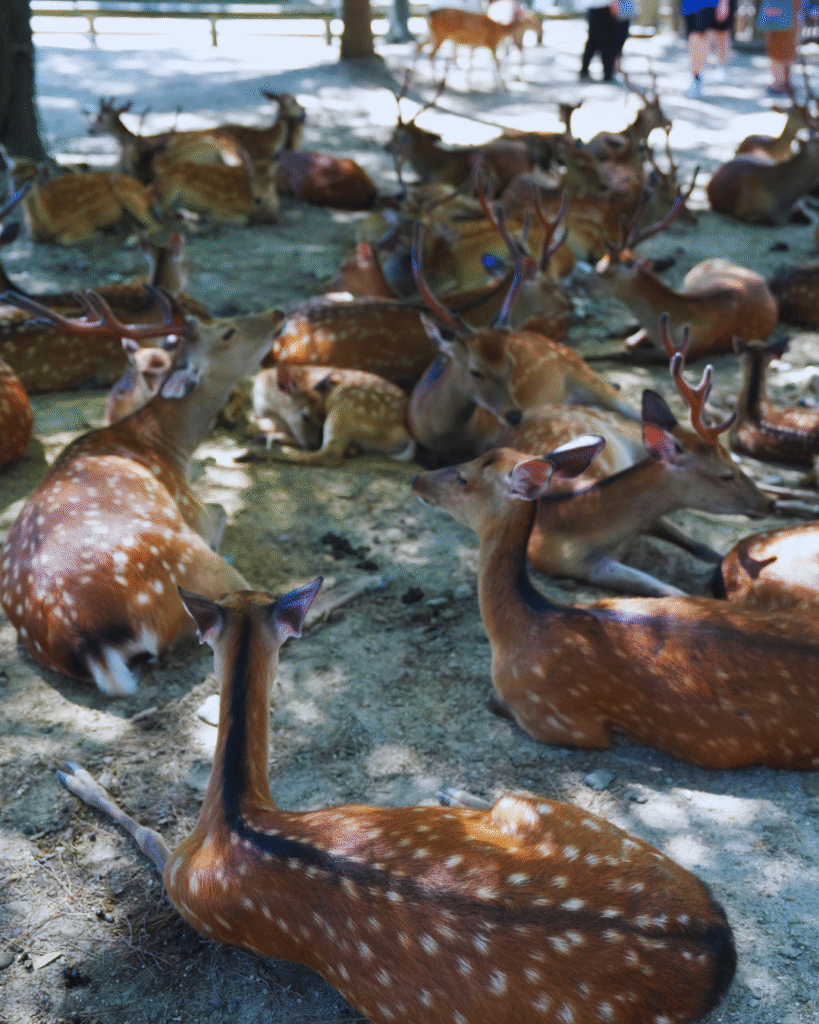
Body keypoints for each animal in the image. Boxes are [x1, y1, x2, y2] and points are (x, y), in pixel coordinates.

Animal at [0, 288, 284, 696]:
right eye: (227, 332)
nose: (278, 313)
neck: (167, 445)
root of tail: (82, 638)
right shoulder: (192, 507)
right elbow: (222, 509)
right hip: (197, 566)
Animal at [7, 159, 161, 244]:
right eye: (12, 176)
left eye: (31, 178)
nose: (16, 193)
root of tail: (144, 188)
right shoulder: (31, 234)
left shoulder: (80, 223)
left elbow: (62, 239)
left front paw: (97, 234)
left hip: (127, 192)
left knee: (157, 225)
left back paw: (130, 240)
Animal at [54, 574, 737, 1024]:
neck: (234, 814)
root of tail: (719, 945)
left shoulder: (186, 891)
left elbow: (147, 832)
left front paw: (74, 772)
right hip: (545, 809)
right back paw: (452, 795)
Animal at [246, 364, 415, 466]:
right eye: (305, 416)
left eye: (320, 417)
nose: (314, 442)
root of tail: (406, 434)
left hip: (346, 406)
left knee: (329, 455)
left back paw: (254, 451)